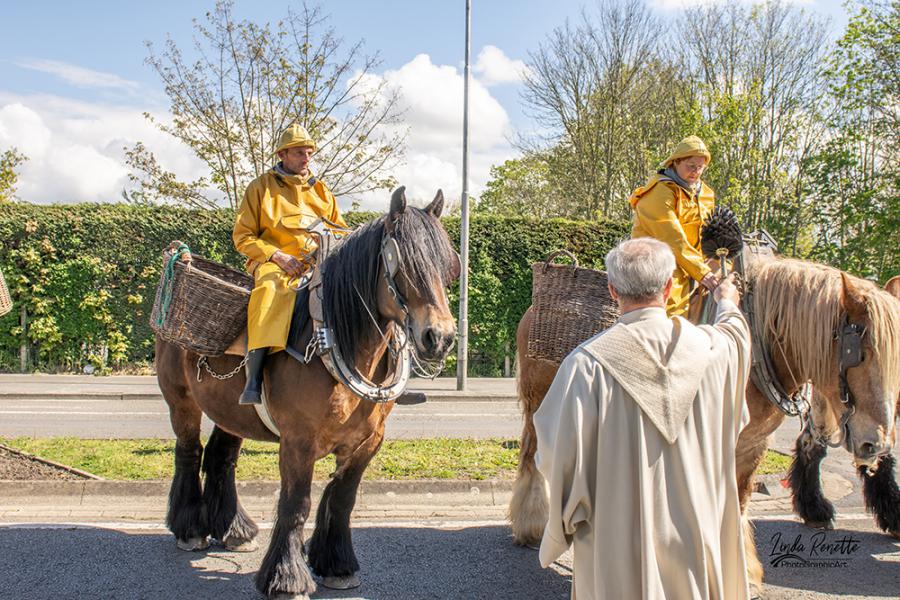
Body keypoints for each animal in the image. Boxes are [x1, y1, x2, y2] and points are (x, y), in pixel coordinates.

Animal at [154, 189, 458, 600]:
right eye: (404, 263)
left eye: (448, 265)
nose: (439, 337)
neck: (336, 342)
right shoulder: (298, 441)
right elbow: (296, 504)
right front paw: (286, 578)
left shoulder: (368, 441)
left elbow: (342, 498)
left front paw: (337, 565)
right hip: (181, 400)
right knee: (189, 452)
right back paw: (190, 530)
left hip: (230, 410)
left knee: (220, 457)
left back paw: (234, 530)